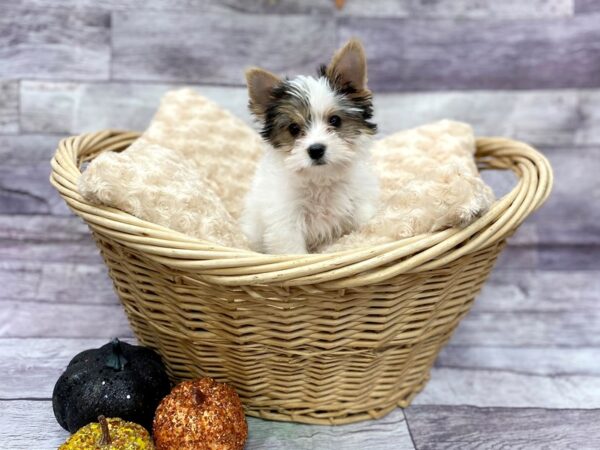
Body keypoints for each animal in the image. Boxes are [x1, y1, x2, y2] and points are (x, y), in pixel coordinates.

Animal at [240, 39, 378, 255]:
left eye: (335, 120)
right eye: (294, 128)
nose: (316, 149)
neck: (321, 180)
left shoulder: (359, 202)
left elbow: (363, 220)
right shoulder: (285, 220)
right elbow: (291, 250)